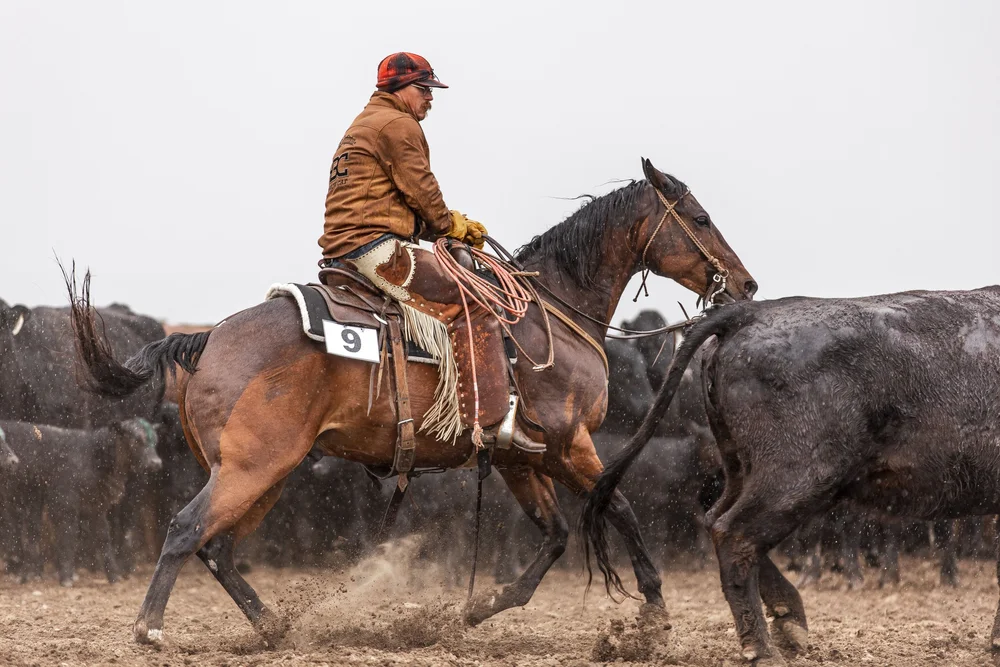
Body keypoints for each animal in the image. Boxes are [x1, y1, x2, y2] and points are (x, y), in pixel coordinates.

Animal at [67, 158, 757, 645]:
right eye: (699, 218)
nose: (747, 284)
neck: (549, 315)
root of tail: (208, 339)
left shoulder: (520, 457)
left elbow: (557, 535)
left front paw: (476, 611)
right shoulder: (569, 445)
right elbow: (622, 513)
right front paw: (655, 617)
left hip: (266, 473)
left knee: (218, 549)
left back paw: (274, 628)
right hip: (251, 467)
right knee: (188, 530)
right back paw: (150, 629)